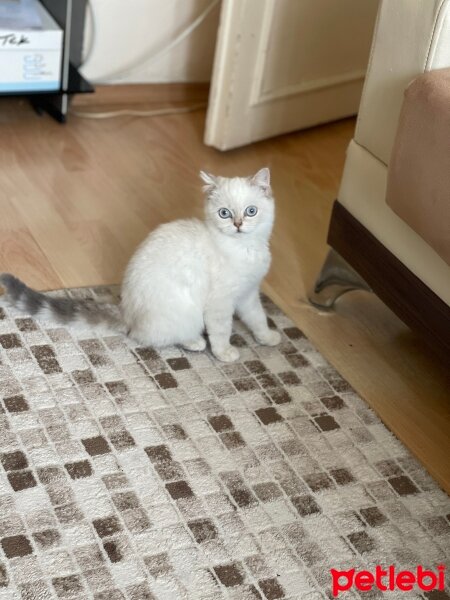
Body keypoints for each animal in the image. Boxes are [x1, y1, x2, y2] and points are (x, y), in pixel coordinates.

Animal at [0, 168, 282, 360]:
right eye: (224, 213)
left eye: (251, 211)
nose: (238, 224)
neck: (246, 249)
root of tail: (127, 313)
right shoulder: (220, 303)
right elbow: (222, 330)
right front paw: (225, 353)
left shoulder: (248, 293)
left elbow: (258, 318)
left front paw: (268, 338)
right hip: (186, 311)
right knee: (157, 337)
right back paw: (195, 342)